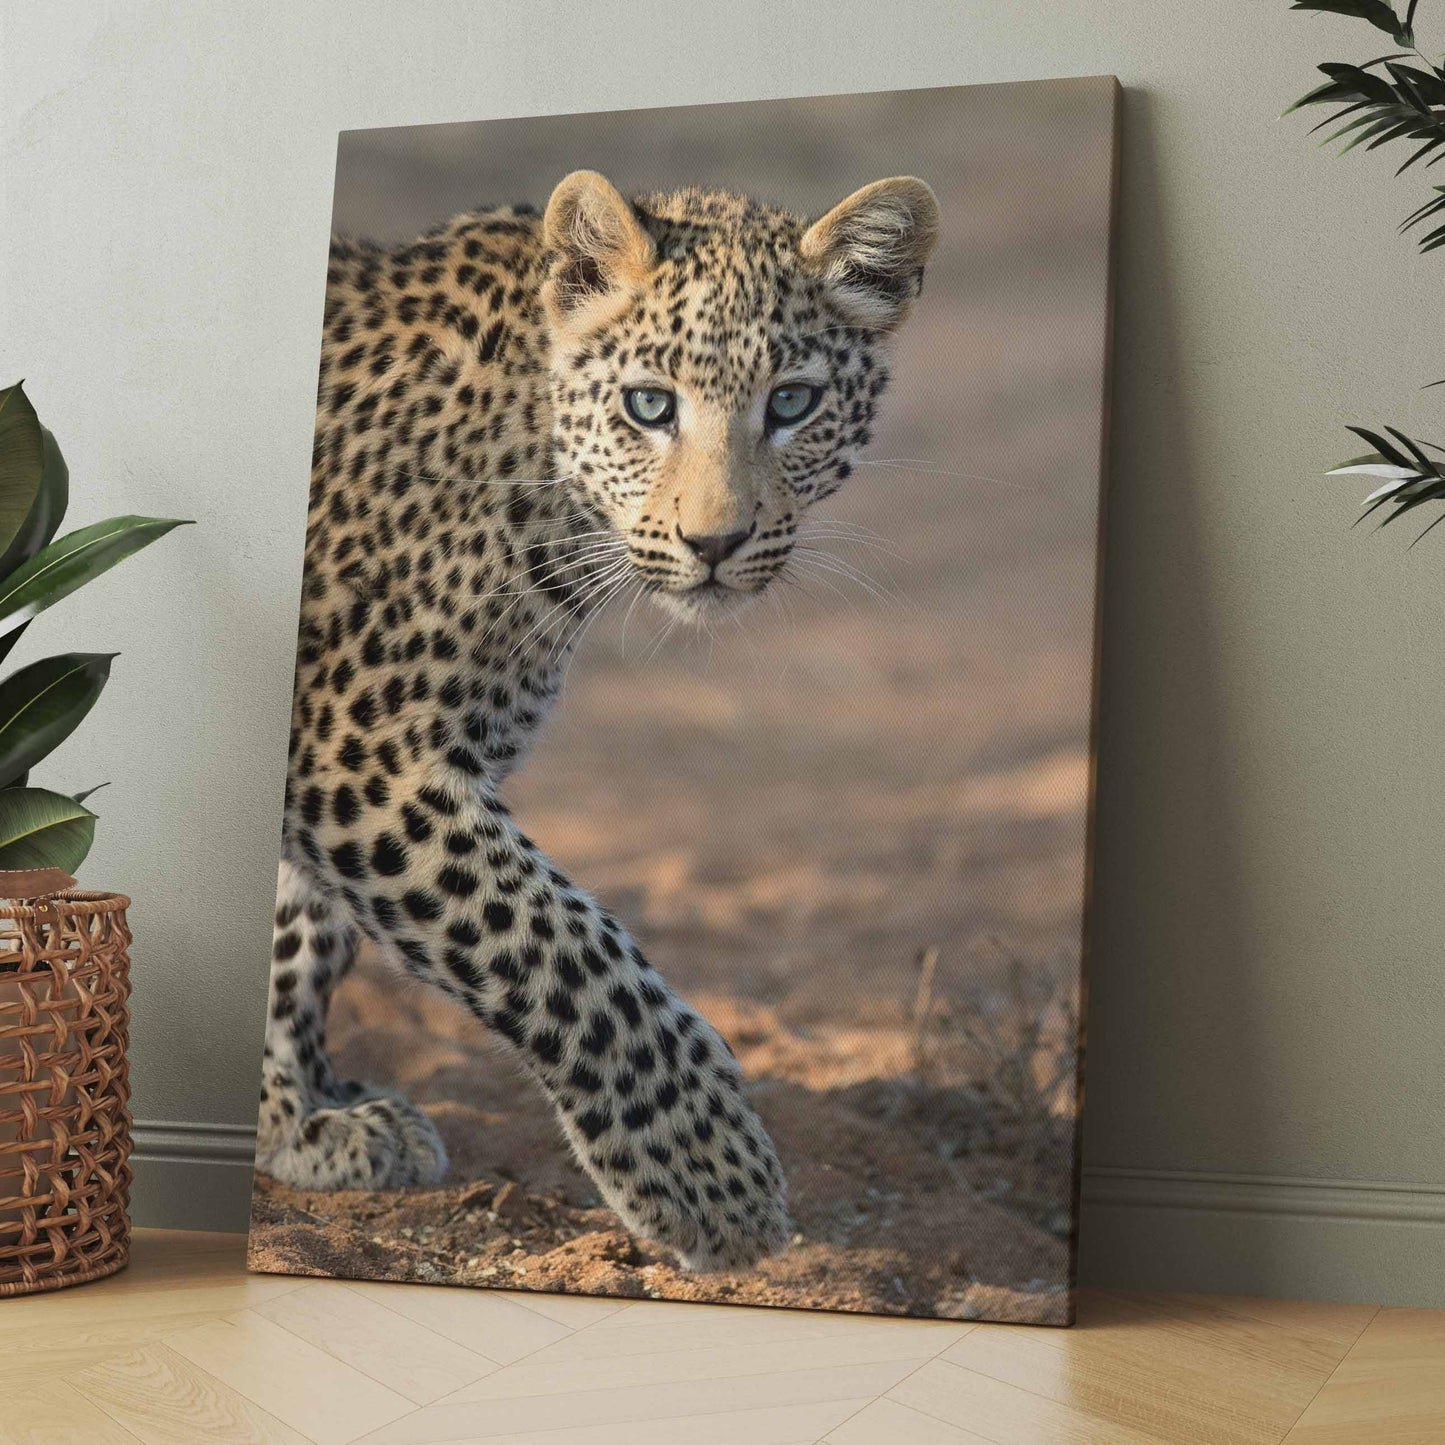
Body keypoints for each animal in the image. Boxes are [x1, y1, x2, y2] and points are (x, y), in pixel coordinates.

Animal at [254, 168, 939, 1271]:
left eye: (791, 402)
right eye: (647, 405)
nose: (715, 543)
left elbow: (299, 927)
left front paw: (288, 1113)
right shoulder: (360, 754)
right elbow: (564, 951)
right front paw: (711, 1180)